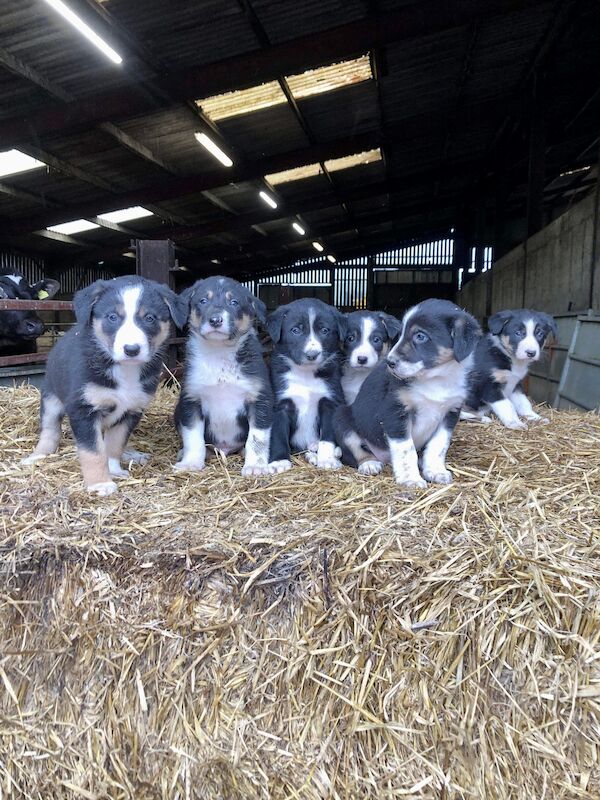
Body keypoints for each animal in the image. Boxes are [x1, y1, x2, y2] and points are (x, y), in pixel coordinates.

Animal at [22, 278, 188, 496]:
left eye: (150, 318)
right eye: (112, 317)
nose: (131, 350)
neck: (125, 370)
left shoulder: (131, 411)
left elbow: (114, 444)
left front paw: (114, 469)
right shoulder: (83, 409)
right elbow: (93, 451)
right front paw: (99, 483)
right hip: (51, 397)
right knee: (50, 430)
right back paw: (37, 456)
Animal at [172, 276, 274, 476]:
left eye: (234, 302)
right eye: (203, 301)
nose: (215, 320)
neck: (219, 353)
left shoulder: (259, 401)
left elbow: (257, 439)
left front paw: (255, 467)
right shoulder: (191, 400)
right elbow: (193, 438)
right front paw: (190, 463)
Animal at [268, 300, 346, 476]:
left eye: (324, 330)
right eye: (295, 330)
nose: (312, 354)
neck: (305, 374)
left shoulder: (330, 402)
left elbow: (327, 436)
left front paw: (327, 459)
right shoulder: (279, 406)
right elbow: (278, 434)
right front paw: (279, 461)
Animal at [332, 300, 482, 488]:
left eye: (420, 336)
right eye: (402, 333)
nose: (389, 362)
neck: (435, 379)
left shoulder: (450, 413)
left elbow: (438, 445)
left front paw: (436, 471)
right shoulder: (395, 411)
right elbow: (406, 449)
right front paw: (411, 479)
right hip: (341, 418)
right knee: (354, 452)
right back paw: (369, 463)